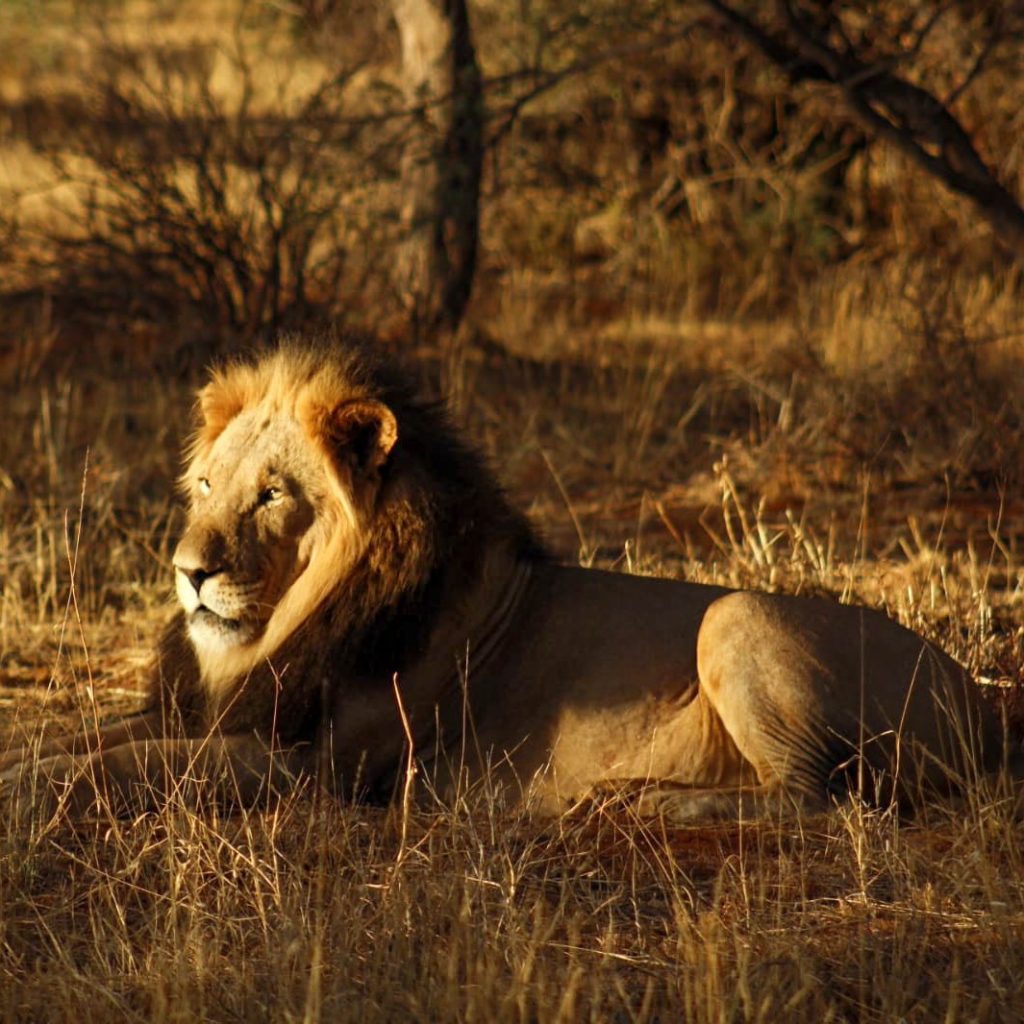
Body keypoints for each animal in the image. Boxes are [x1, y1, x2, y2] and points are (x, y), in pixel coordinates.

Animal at [0, 339, 1019, 819]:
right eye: (208, 485)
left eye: (273, 495)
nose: (189, 573)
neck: (291, 622)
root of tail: (979, 702)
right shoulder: (221, 713)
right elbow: (91, 739)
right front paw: (26, 761)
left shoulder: (312, 770)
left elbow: (134, 765)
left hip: (734, 617)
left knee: (822, 800)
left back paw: (652, 801)